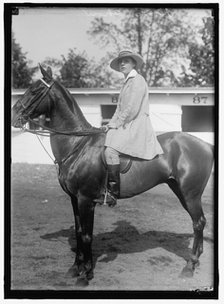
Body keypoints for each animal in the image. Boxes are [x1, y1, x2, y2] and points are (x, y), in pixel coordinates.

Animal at [11, 65, 214, 286]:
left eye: (35, 90)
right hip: (180, 190)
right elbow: (79, 232)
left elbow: (87, 236)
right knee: (199, 222)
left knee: (198, 223)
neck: (77, 144)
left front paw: (86, 274)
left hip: (190, 194)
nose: (13, 115)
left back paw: (189, 266)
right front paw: (75, 268)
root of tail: (204, 144)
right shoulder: (74, 199)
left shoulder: (86, 200)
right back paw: (196, 260)